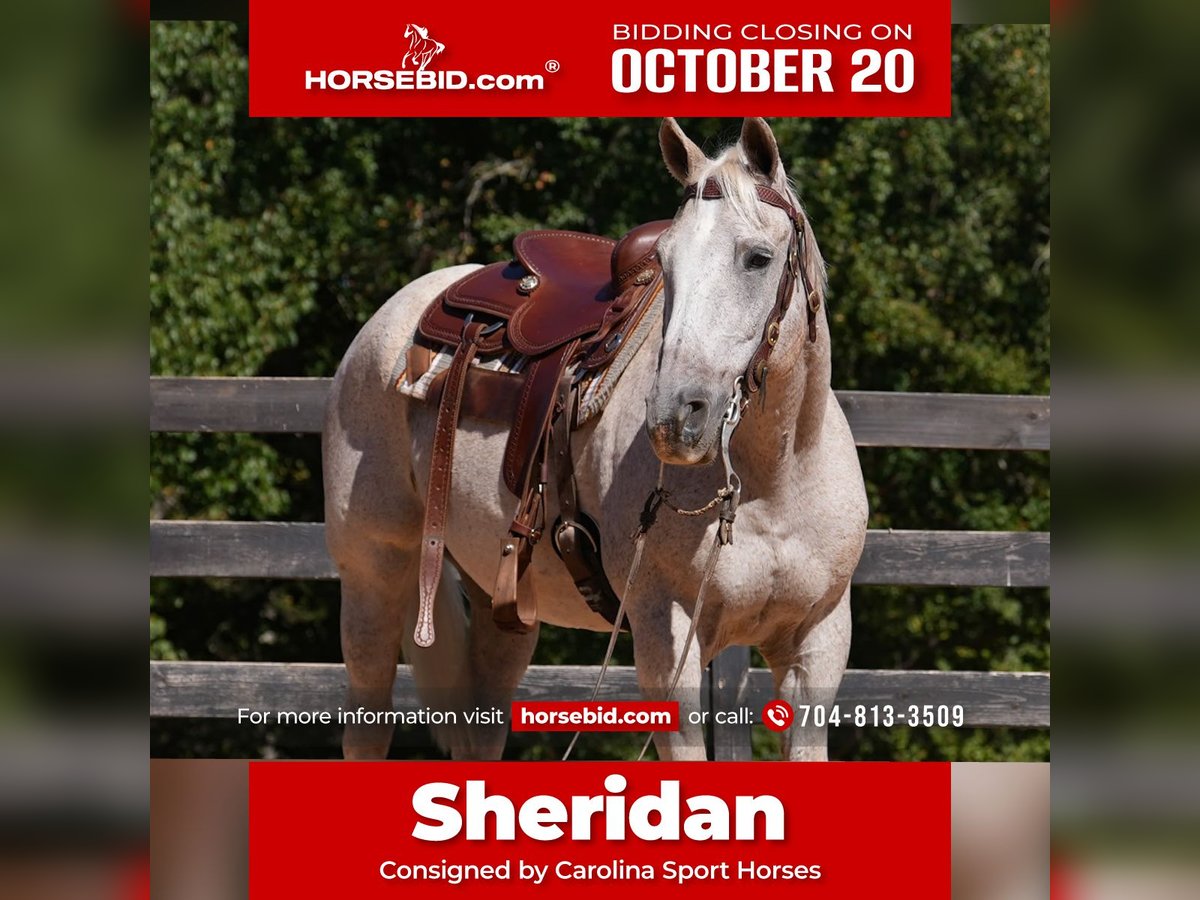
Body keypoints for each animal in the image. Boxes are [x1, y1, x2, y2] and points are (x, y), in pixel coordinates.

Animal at [323, 117, 867, 761]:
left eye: (757, 259)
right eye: (666, 262)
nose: (676, 416)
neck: (775, 480)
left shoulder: (818, 644)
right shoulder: (666, 638)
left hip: (502, 606)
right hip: (373, 578)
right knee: (367, 725)